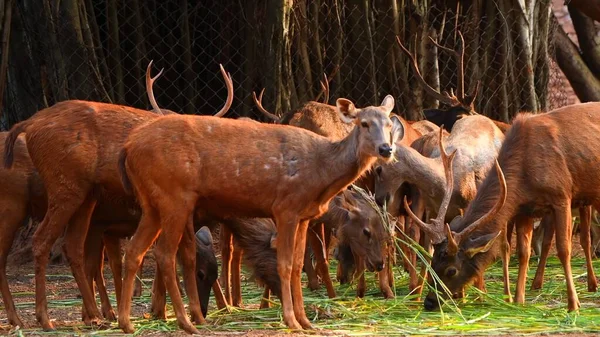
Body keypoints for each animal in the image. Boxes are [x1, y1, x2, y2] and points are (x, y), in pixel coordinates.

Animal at [2, 61, 232, 330]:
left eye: (213, 273)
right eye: (202, 275)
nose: (206, 310)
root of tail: (29, 123)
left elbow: (182, 253)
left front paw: (173, 312)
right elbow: (174, 255)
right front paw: (164, 312)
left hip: (85, 195)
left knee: (73, 247)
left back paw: (92, 315)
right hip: (51, 190)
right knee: (38, 242)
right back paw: (43, 318)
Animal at [414, 101, 600, 310]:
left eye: (451, 270)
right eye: (433, 263)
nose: (429, 302)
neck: (525, 173)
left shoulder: (561, 195)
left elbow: (563, 249)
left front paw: (573, 304)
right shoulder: (524, 209)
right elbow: (523, 253)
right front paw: (518, 300)